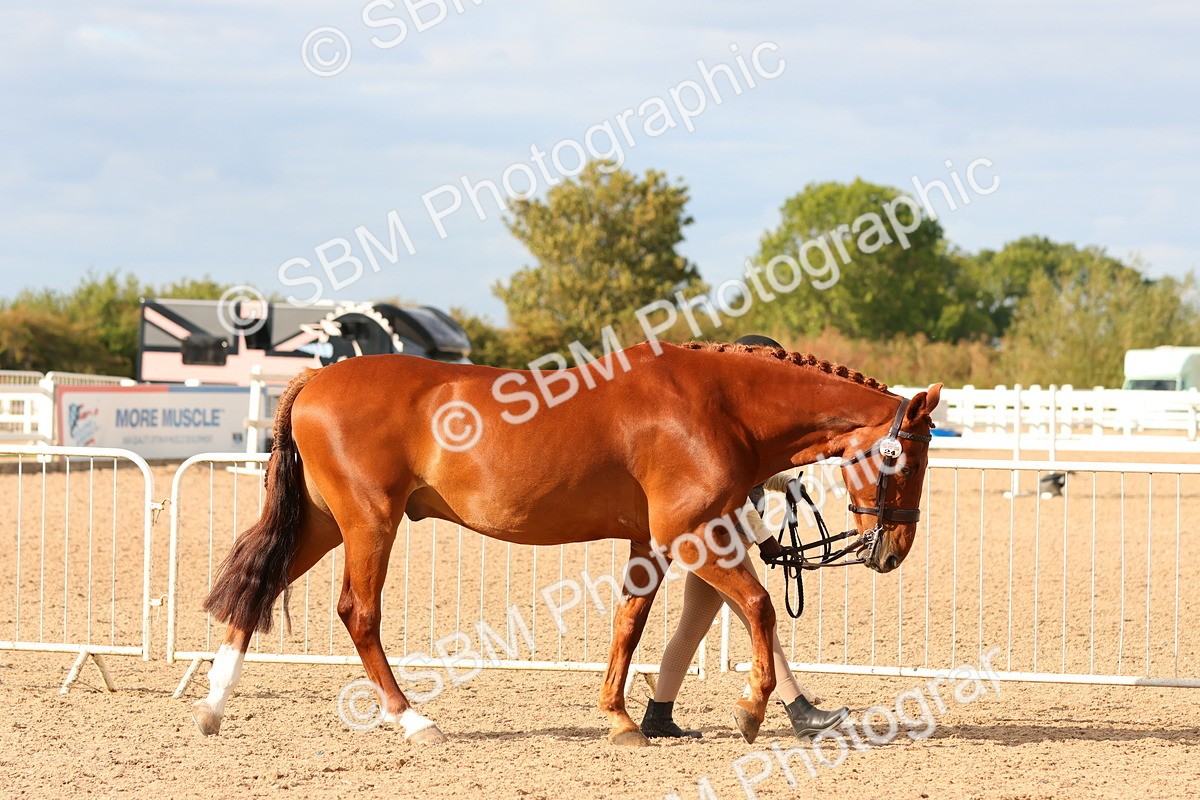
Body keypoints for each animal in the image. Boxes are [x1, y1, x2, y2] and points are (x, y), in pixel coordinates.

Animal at [191, 340, 941, 746]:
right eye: (904, 458)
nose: (896, 548)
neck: (718, 406)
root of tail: (317, 377)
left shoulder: (652, 542)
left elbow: (630, 624)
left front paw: (621, 718)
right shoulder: (690, 535)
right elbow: (758, 605)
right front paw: (752, 711)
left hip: (323, 524)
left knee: (258, 587)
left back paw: (213, 707)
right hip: (369, 523)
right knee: (358, 613)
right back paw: (412, 720)